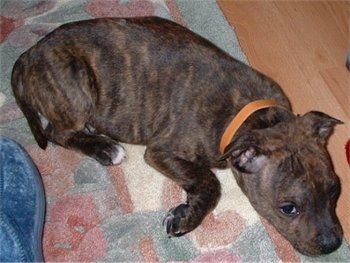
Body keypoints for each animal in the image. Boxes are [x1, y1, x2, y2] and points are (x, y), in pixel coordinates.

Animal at [11, 17, 342, 258]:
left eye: (335, 190)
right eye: (288, 208)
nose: (333, 245)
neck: (254, 116)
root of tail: (29, 54)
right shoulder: (161, 151)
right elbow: (210, 180)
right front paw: (186, 217)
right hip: (76, 87)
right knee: (55, 132)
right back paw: (104, 148)